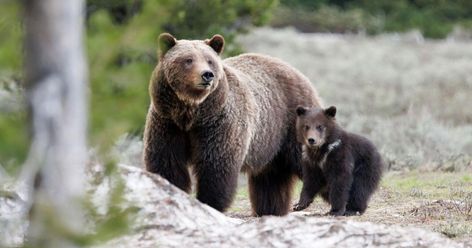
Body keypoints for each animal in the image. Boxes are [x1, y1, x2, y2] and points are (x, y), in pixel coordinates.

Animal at [143, 33, 320, 215]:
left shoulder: (217, 124)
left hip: (291, 122)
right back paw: (270, 210)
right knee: (270, 179)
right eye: (188, 59)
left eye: (209, 60)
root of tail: (298, 73)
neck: (192, 114)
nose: (207, 75)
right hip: (269, 141)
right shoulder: (168, 123)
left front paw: (209, 202)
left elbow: (216, 165)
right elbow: (168, 163)